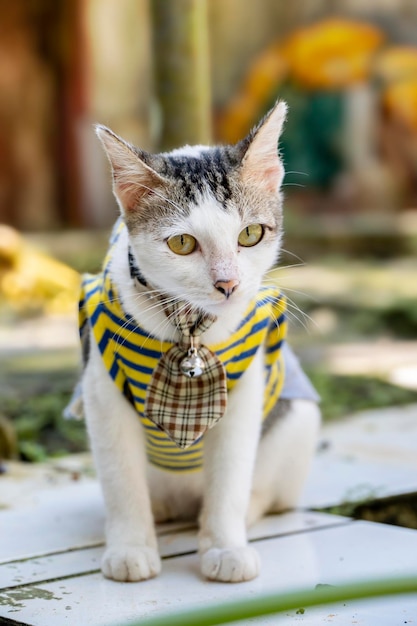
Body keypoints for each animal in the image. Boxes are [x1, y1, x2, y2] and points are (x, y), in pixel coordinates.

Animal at [75, 100, 322, 584]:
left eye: (250, 234)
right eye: (183, 243)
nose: (228, 284)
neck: (190, 325)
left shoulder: (246, 387)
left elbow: (230, 474)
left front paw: (226, 546)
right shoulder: (101, 390)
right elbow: (120, 475)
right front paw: (130, 547)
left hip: (299, 417)